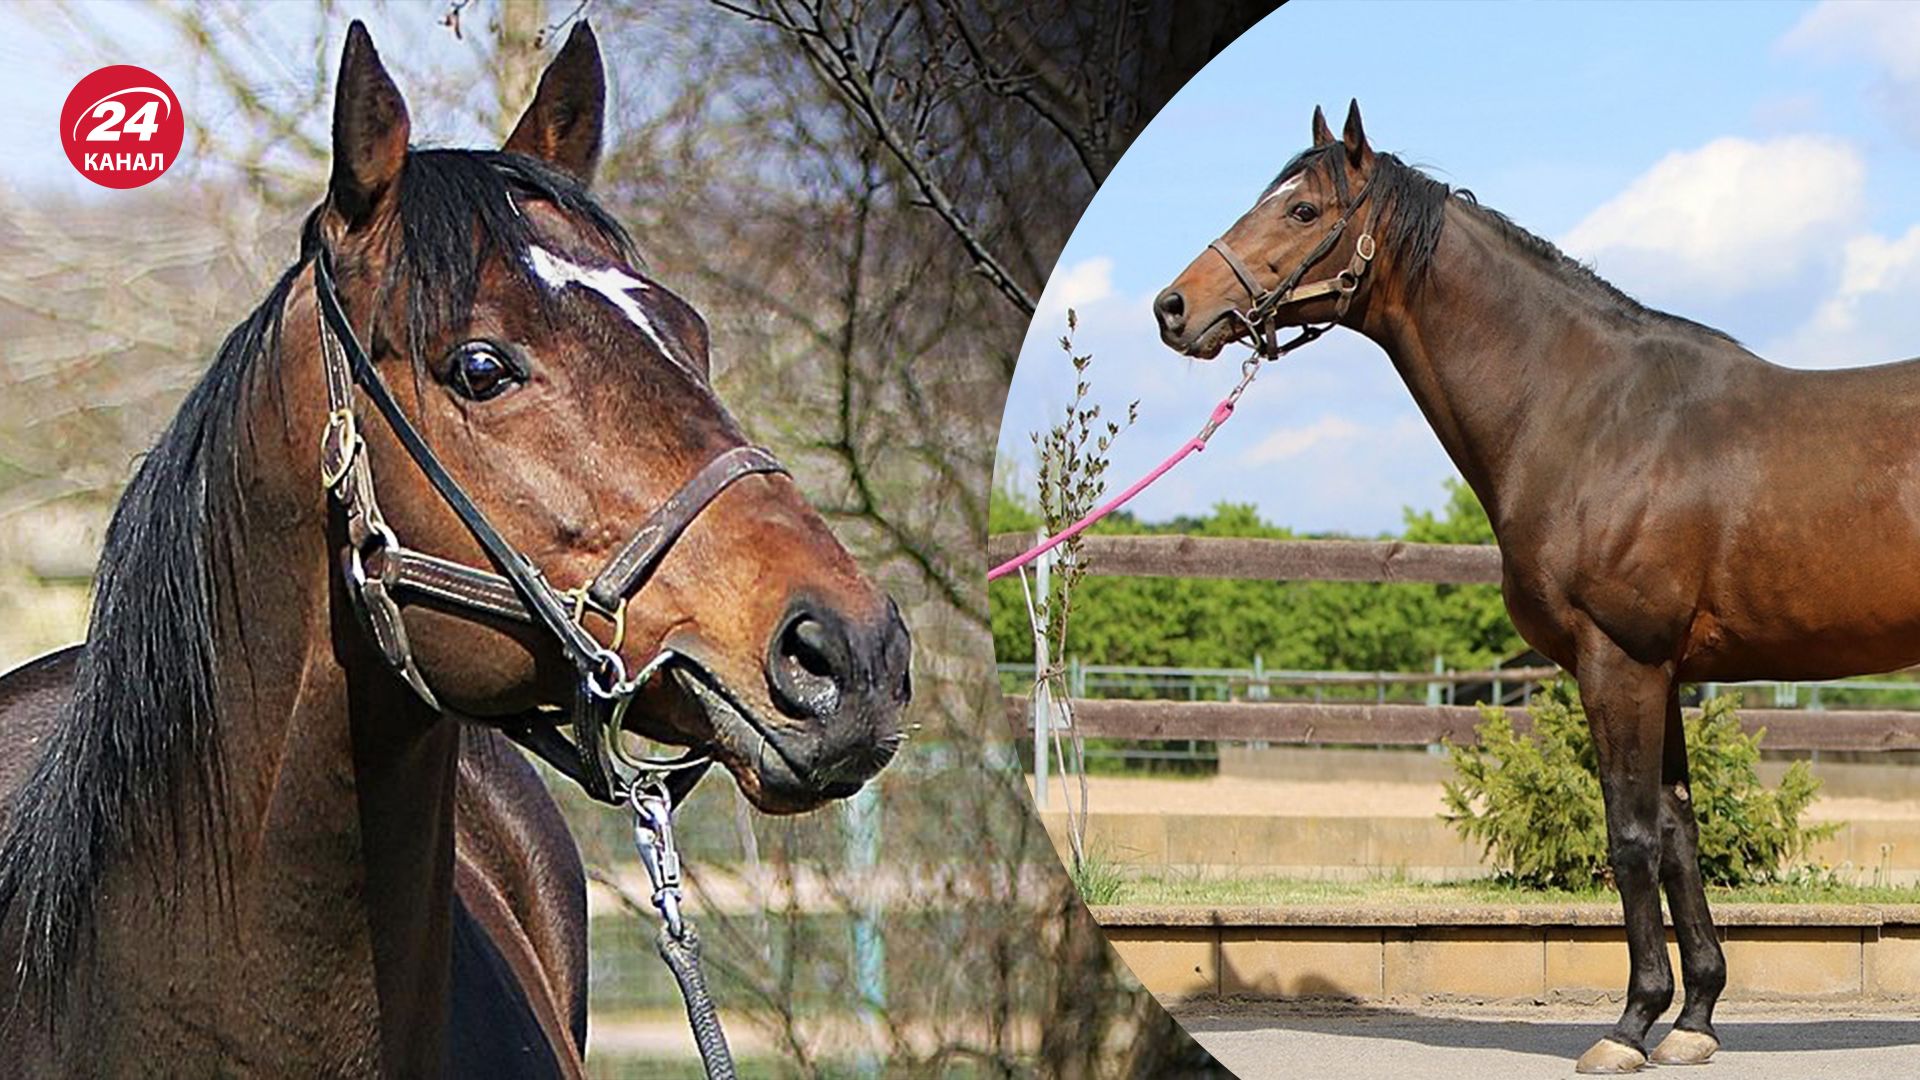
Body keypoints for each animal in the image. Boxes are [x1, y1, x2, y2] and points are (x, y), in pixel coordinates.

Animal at [1144, 100, 1912, 1068]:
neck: (1593, 413)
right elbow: (1678, 833)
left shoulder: (1619, 663)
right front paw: (1694, 1020)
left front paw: (1630, 1025)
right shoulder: (1660, 674)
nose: (1175, 307)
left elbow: (1630, 839)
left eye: (1304, 210)